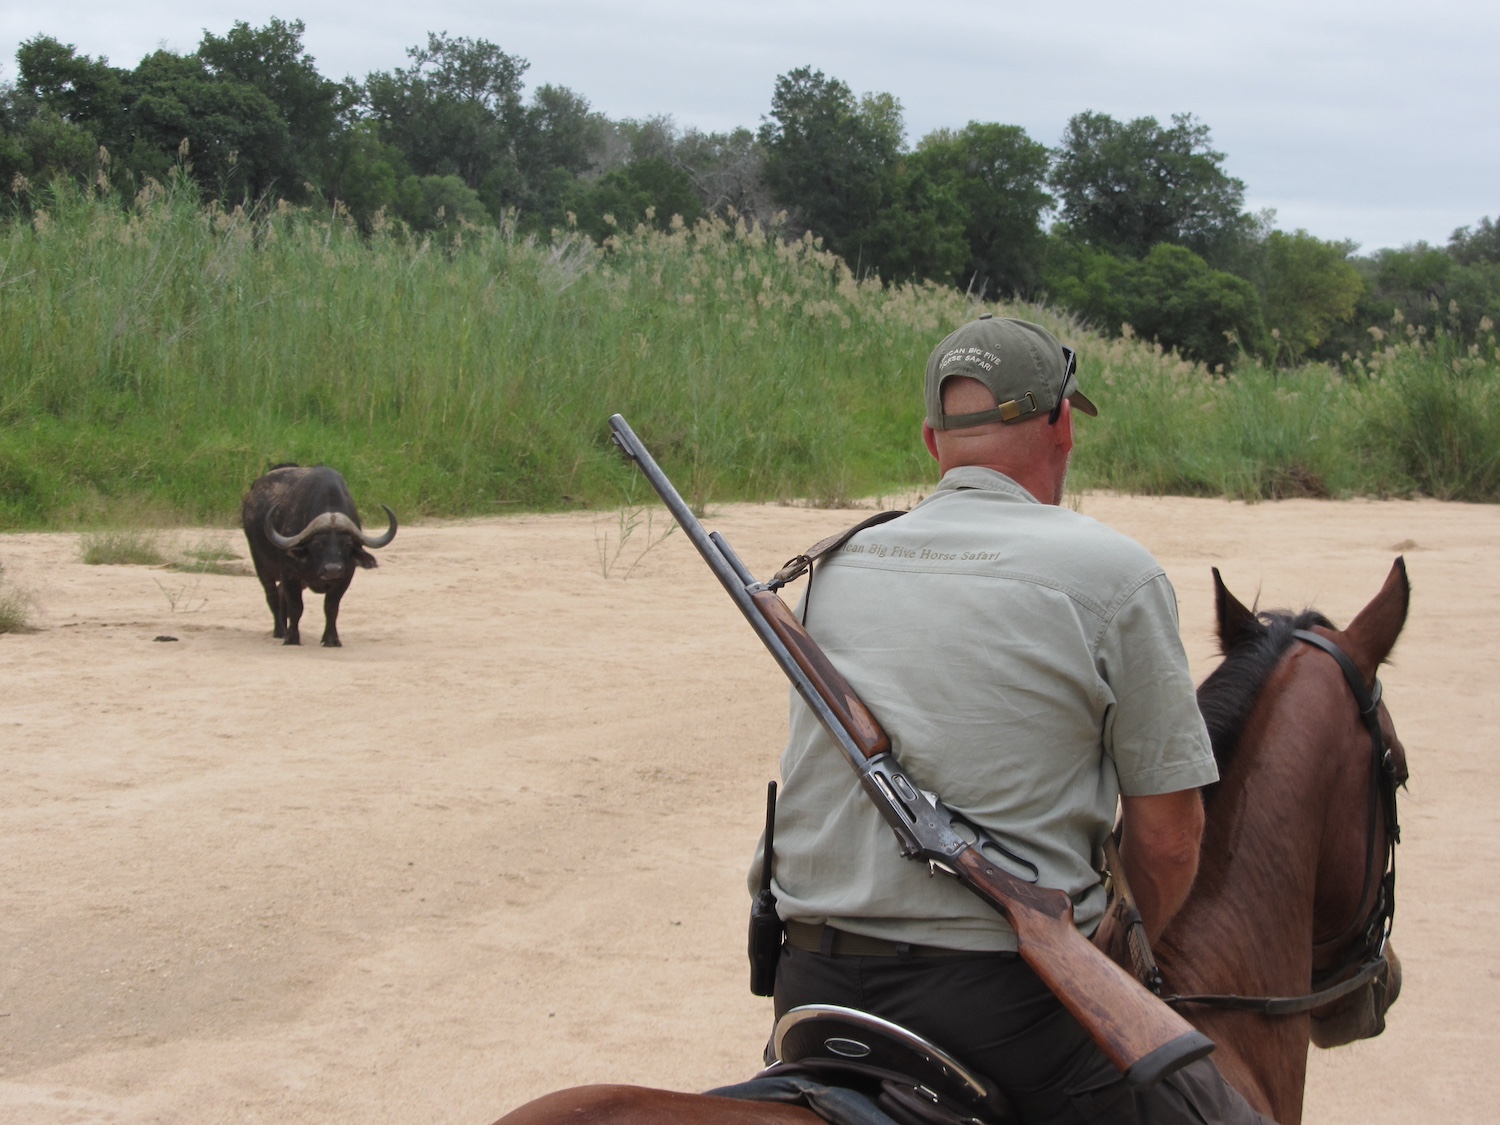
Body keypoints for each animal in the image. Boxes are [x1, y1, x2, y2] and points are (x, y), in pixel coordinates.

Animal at [240, 462, 396, 648]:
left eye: (347, 544)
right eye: (317, 543)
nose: (332, 570)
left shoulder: (345, 577)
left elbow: (331, 607)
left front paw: (331, 639)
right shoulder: (290, 574)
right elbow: (296, 607)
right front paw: (292, 638)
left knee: (280, 593)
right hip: (261, 564)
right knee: (272, 595)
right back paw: (280, 631)